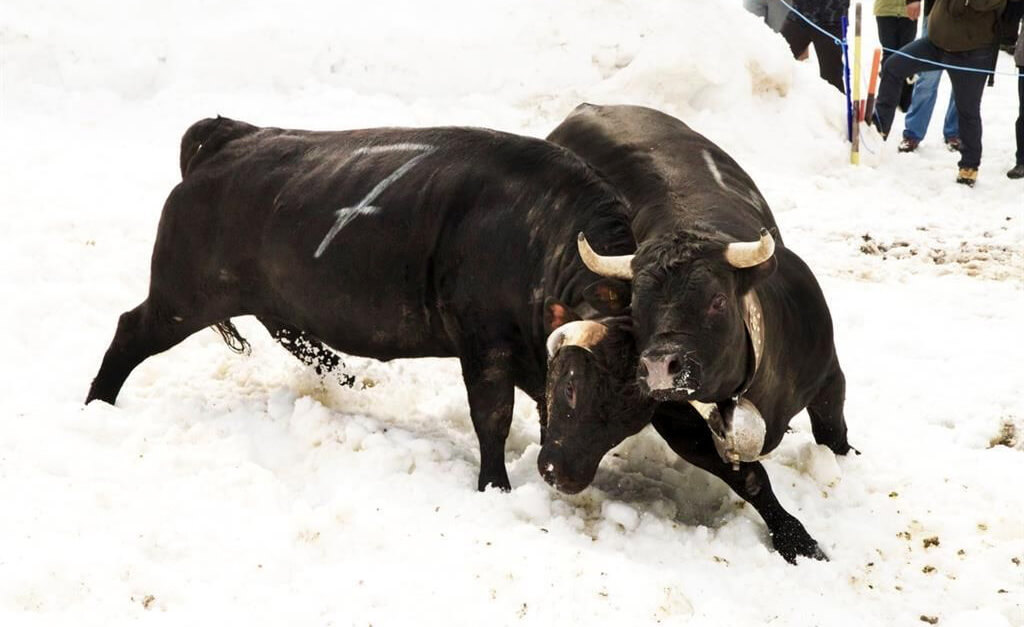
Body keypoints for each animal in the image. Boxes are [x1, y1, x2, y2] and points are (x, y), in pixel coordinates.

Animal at [86, 115, 638, 491]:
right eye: (574, 386)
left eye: (632, 417)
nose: (561, 475)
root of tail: (233, 135)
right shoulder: (486, 344)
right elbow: (493, 416)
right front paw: (494, 486)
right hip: (182, 296)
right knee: (129, 331)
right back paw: (96, 405)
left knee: (296, 337)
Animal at [540, 102, 851, 561]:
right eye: (636, 305)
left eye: (717, 300)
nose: (659, 368)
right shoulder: (678, 420)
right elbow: (750, 478)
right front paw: (796, 538)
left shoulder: (829, 375)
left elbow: (833, 433)